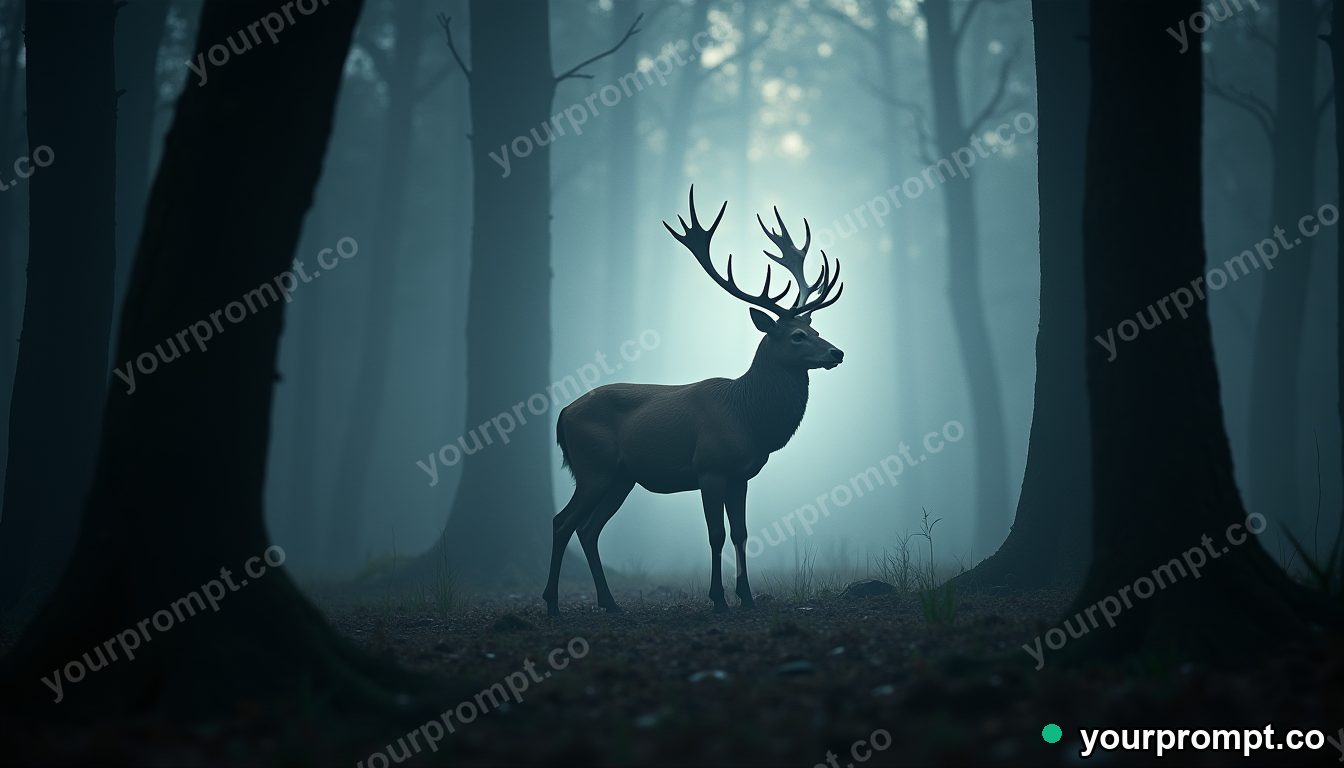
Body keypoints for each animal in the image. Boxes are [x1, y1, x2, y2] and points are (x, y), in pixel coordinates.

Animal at [543, 187, 845, 617]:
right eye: (797, 336)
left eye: (816, 330)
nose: (837, 352)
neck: (749, 418)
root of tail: (564, 412)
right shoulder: (710, 467)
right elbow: (716, 534)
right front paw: (718, 599)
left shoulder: (741, 475)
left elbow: (741, 533)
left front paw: (747, 597)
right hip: (592, 466)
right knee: (562, 521)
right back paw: (553, 603)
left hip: (621, 476)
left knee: (588, 528)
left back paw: (609, 602)